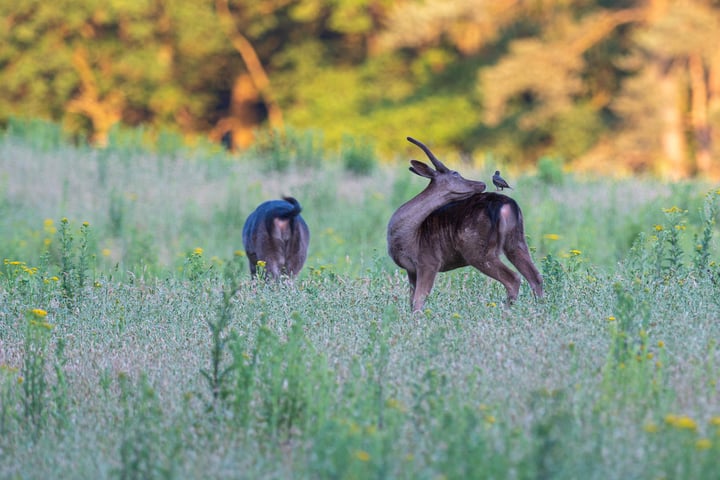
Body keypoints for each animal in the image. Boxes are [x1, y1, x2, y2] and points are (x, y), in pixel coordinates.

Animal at [386, 137, 544, 314]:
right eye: (456, 173)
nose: (481, 183)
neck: (410, 236)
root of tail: (507, 206)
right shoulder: (411, 269)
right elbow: (412, 301)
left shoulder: (429, 261)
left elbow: (419, 300)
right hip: (516, 241)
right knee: (535, 276)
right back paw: (542, 309)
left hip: (478, 249)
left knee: (513, 278)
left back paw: (505, 313)